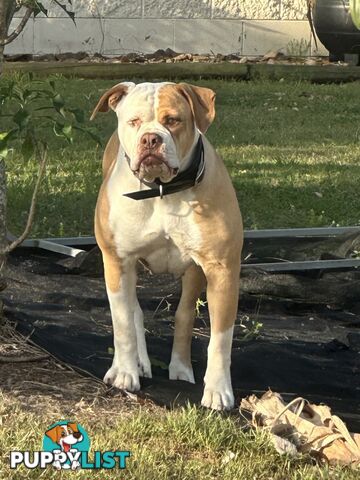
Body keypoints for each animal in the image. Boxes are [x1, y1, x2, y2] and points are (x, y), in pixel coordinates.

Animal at [91, 81, 243, 408]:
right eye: (133, 121)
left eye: (173, 120)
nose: (150, 138)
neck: (162, 190)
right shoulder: (117, 260)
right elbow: (123, 322)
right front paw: (124, 373)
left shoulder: (221, 269)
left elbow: (220, 337)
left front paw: (218, 390)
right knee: (133, 311)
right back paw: (136, 363)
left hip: (195, 272)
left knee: (184, 313)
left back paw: (181, 367)